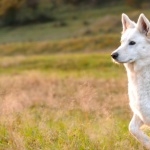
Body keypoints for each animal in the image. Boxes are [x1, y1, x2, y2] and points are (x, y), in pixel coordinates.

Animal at [111, 13, 150, 149]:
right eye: (121, 42)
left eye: (132, 43)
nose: (113, 55)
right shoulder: (140, 113)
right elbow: (132, 128)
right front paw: (147, 143)